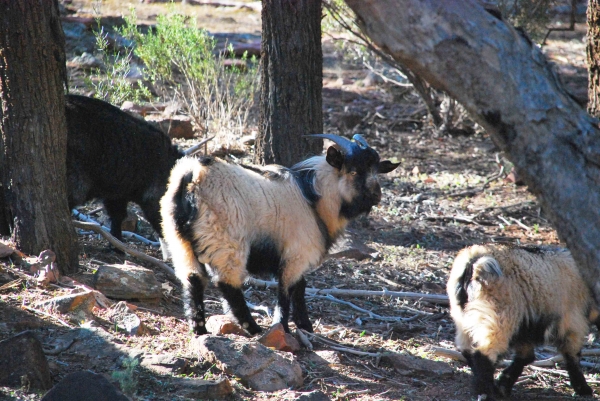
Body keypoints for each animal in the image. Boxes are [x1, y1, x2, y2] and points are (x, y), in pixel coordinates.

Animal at [159, 134, 398, 334]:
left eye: (376, 170)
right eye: (354, 171)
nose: (377, 195)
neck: (313, 198)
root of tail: (192, 178)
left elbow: (299, 287)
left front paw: (304, 326)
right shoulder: (296, 254)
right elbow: (287, 291)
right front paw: (285, 327)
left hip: (179, 242)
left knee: (193, 279)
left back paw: (200, 329)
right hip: (227, 242)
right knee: (227, 283)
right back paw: (253, 328)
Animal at [448, 242, 596, 398]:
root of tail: (474, 261)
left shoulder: (526, 326)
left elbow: (526, 356)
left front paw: (504, 385)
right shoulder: (573, 320)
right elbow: (572, 354)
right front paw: (583, 389)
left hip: (464, 317)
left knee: (466, 349)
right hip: (499, 316)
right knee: (484, 353)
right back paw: (485, 392)